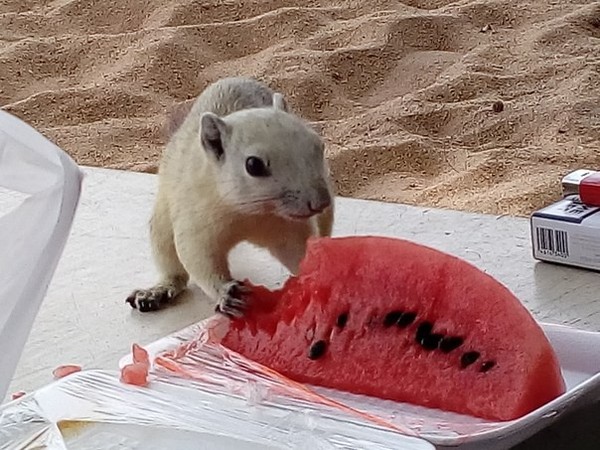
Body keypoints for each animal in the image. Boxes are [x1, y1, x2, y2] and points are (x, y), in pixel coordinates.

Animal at [126, 76, 336, 316]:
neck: (251, 214)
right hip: (162, 225)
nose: (320, 202)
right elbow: (198, 257)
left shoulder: (289, 230)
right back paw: (157, 291)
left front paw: (317, 281)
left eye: (319, 145)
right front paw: (226, 293)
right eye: (253, 165)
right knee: (174, 269)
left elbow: (298, 253)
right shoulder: (196, 217)